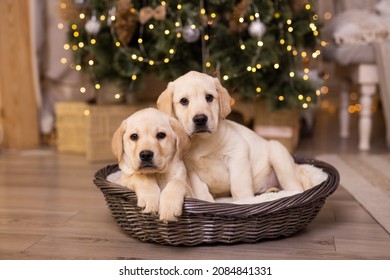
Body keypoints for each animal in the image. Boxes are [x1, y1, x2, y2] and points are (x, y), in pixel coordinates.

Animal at [157, 70, 312, 201]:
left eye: (209, 97)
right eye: (184, 101)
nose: (200, 119)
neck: (202, 140)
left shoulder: (238, 153)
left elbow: (239, 185)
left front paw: (245, 202)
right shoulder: (190, 170)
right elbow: (201, 190)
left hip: (279, 155)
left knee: (294, 187)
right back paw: (272, 191)